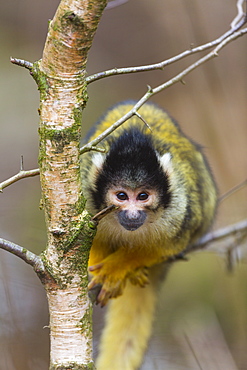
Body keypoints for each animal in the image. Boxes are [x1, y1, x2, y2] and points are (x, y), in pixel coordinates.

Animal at [81, 102, 216, 370]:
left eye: (143, 196)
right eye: (122, 196)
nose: (133, 214)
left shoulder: (180, 207)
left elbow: (171, 243)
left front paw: (118, 268)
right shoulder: (85, 193)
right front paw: (99, 268)